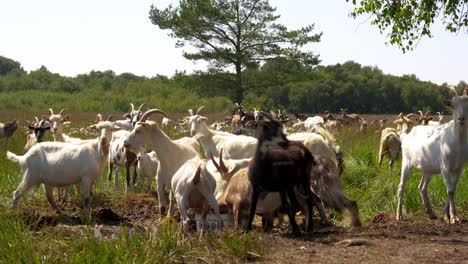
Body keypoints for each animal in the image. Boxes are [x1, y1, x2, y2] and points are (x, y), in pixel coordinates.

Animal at [396, 86, 468, 223]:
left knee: (422, 188)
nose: (461, 119)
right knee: (401, 186)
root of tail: (406, 134)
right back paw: (399, 215)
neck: (457, 141)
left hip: (427, 169)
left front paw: (447, 215)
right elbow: (450, 191)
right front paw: (453, 218)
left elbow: (453, 189)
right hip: (406, 162)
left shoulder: (459, 168)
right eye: (453, 105)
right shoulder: (445, 166)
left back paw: (431, 213)